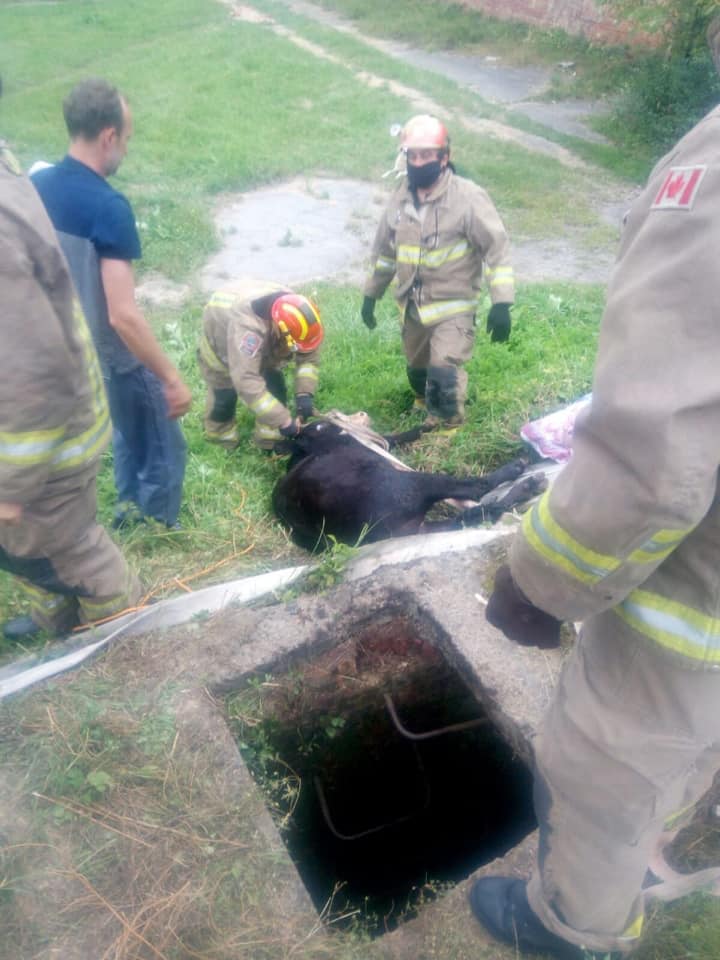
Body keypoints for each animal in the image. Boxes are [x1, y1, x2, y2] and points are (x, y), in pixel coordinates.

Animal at [272, 414, 544, 556]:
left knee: (474, 515)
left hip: (418, 524)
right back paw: (526, 480)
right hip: (413, 484)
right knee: (478, 491)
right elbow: (395, 437)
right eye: (322, 425)